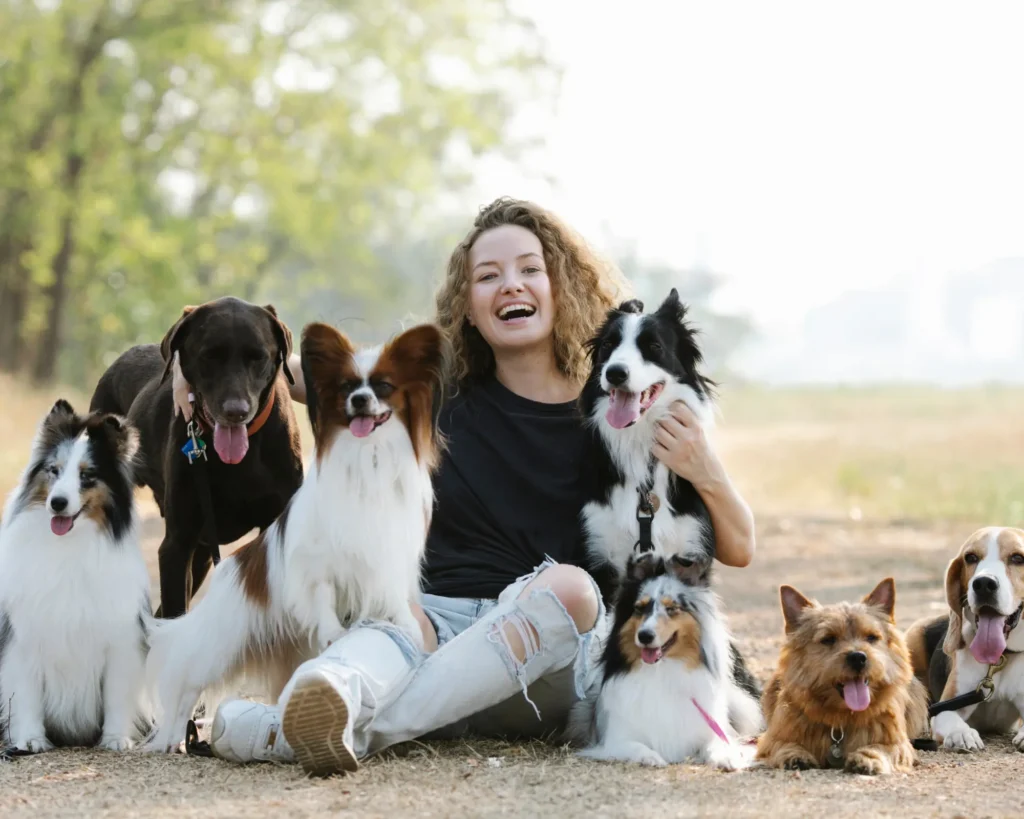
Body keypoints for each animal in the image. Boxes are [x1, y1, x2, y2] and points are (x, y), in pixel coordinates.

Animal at [0, 399, 151, 753]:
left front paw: (115, 738)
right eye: (53, 470)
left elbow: (116, 694)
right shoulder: (25, 638)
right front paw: (30, 739)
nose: (57, 503)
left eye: (87, 476)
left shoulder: (120, 640)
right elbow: (27, 694)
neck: (69, 544)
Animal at [144, 321, 444, 753]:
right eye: (347, 386)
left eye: (384, 386)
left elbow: (392, 597)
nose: (359, 400)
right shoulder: (316, 563)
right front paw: (335, 632)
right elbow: (324, 599)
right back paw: (171, 738)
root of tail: (228, 568)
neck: (367, 456)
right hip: (220, 642)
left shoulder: (388, 555)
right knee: (185, 682)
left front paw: (404, 625)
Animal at [753, 577, 929, 773]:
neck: (842, 718)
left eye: (871, 637)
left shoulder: (898, 743)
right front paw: (794, 754)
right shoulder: (772, 739)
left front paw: (868, 757)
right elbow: (782, 744)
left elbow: (883, 747)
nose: (858, 657)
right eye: (828, 639)